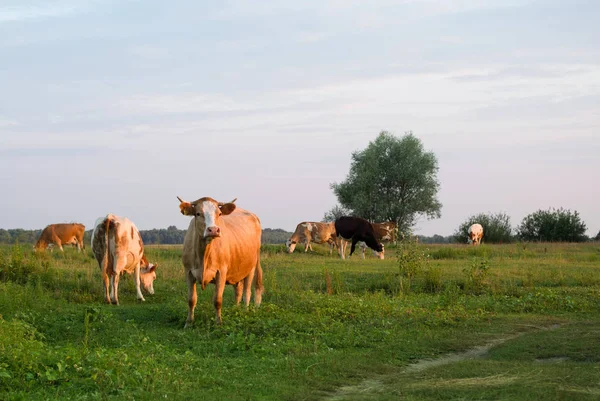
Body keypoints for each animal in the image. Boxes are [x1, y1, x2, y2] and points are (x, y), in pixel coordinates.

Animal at [177, 196, 264, 324]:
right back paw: (235, 309)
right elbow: (191, 300)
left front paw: (219, 322)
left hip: (251, 268)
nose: (213, 230)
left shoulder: (221, 271)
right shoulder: (188, 271)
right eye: (198, 213)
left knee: (247, 293)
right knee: (238, 291)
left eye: (219, 214)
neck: (204, 254)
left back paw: (244, 312)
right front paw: (189, 322)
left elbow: (217, 300)